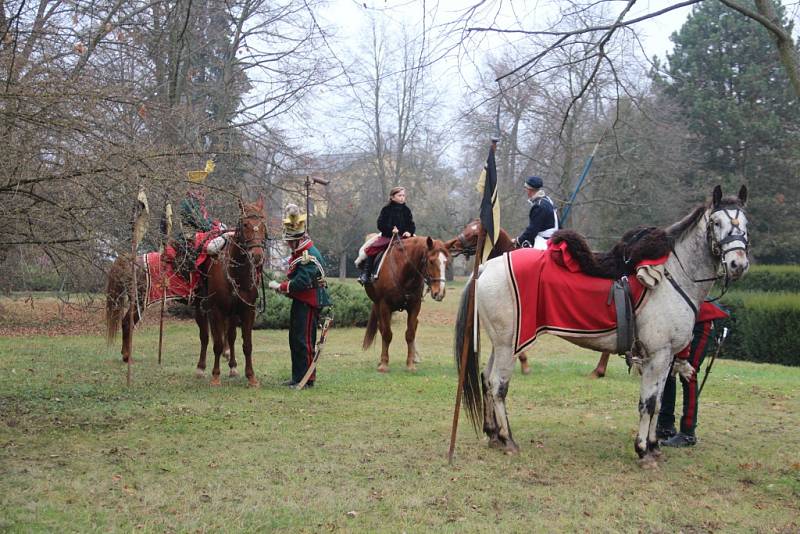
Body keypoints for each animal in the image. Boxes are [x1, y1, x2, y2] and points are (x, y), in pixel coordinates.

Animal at [362, 237, 450, 374]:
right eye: (431, 261)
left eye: (446, 262)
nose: (439, 293)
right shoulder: (384, 305)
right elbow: (387, 334)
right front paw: (384, 364)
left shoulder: (415, 307)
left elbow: (410, 334)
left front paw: (410, 365)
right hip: (377, 306)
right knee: (382, 328)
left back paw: (414, 357)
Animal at [456, 187, 752, 468]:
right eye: (716, 222)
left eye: (745, 223)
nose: (738, 263)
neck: (673, 276)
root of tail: (485, 267)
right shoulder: (657, 356)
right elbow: (649, 403)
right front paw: (643, 450)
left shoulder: (666, 358)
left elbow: (656, 403)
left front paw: (653, 446)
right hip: (508, 345)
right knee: (498, 384)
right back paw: (507, 439)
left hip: (501, 343)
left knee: (487, 379)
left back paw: (494, 434)